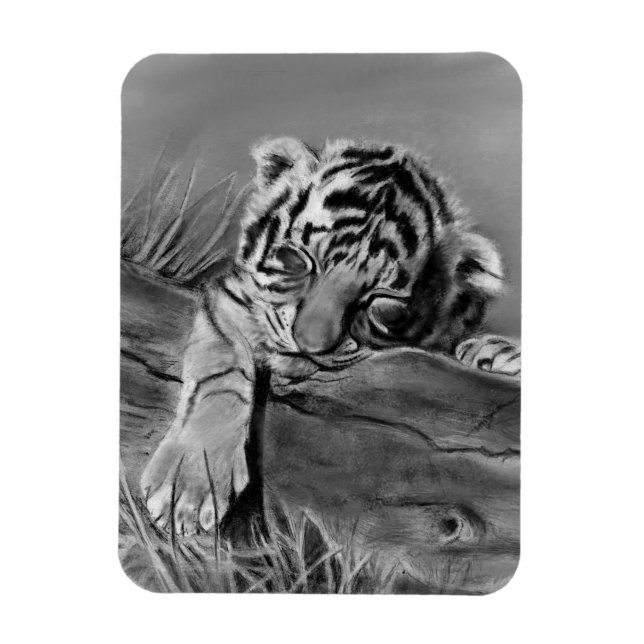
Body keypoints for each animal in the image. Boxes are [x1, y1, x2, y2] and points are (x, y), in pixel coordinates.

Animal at [141, 137, 521, 535]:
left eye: (384, 304)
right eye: (297, 259)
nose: (309, 344)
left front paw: (497, 354)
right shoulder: (234, 297)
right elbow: (221, 371)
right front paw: (186, 486)